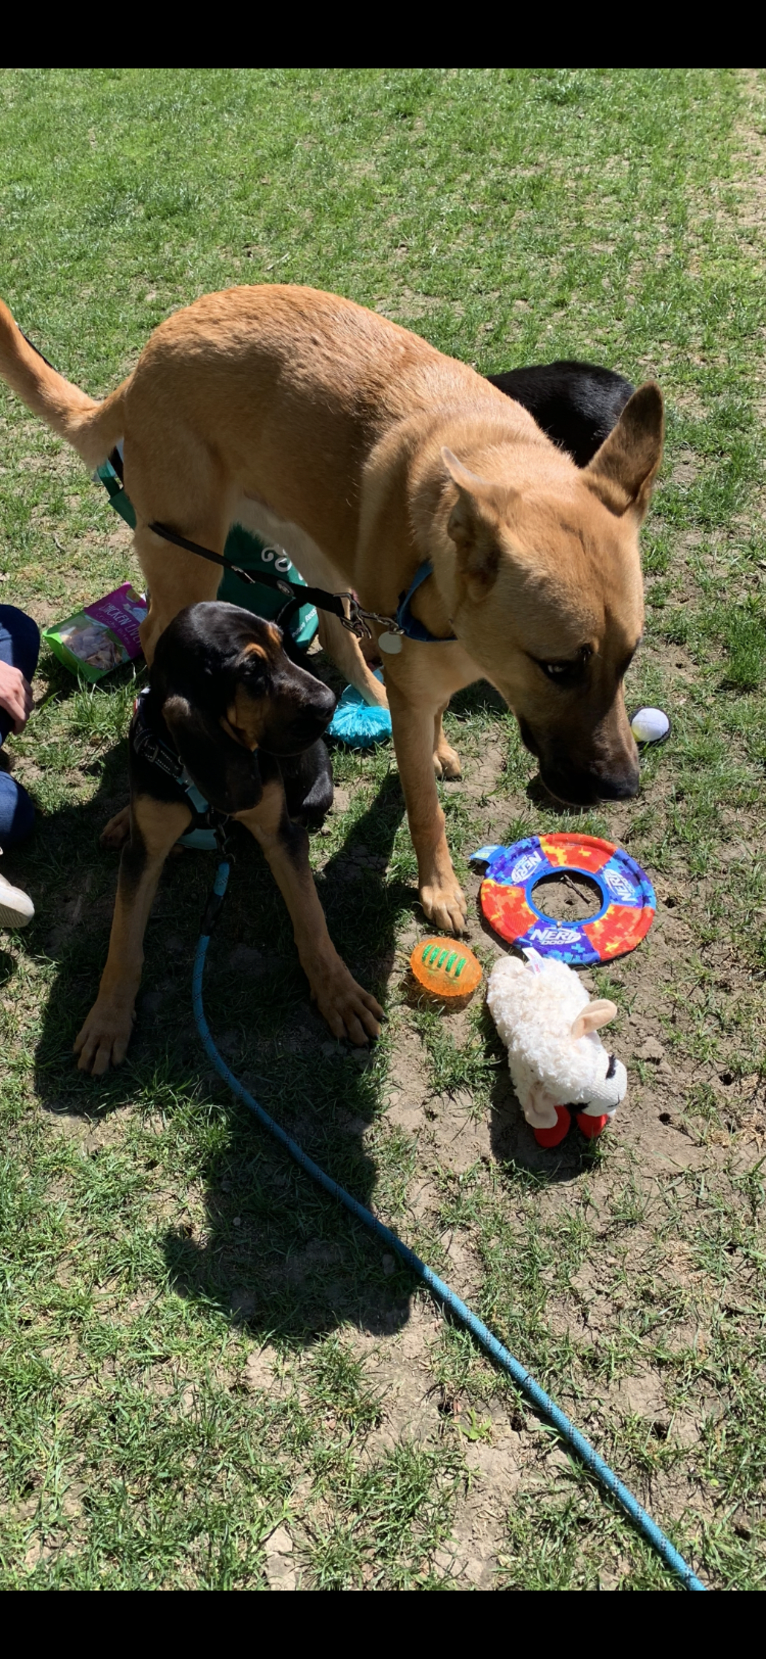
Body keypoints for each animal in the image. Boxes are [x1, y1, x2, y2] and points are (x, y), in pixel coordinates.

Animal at [0, 285, 659, 935]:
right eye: (558, 668)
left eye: (628, 658)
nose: (624, 788)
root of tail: (142, 366)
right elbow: (424, 808)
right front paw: (439, 887)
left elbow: (423, 721)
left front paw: (437, 748)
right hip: (189, 560)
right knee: (153, 633)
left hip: (308, 549)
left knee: (342, 639)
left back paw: (371, 694)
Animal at [74, 603, 383, 1081]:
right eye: (251, 672)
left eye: (280, 645)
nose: (330, 703)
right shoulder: (142, 856)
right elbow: (123, 943)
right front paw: (106, 1022)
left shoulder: (281, 835)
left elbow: (312, 922)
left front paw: (341, 995)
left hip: (314, 797)